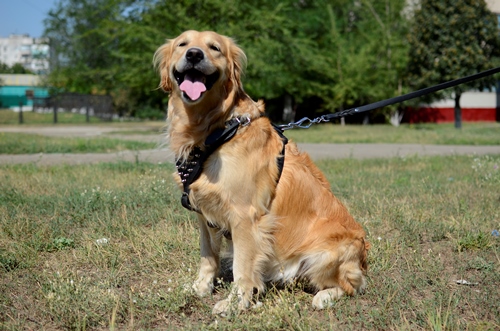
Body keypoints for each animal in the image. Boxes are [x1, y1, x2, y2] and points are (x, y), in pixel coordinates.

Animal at [154, 29, 370, 316]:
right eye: (182, 44)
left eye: (214, 48)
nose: (194, 55)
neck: (216, 130)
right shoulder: (203, 215)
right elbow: (207, 257)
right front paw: (200, 288)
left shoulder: (245, 217)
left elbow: (242, 267)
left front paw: (236, 302)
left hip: (327, 254)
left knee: (352, 287)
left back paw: (324, 297)